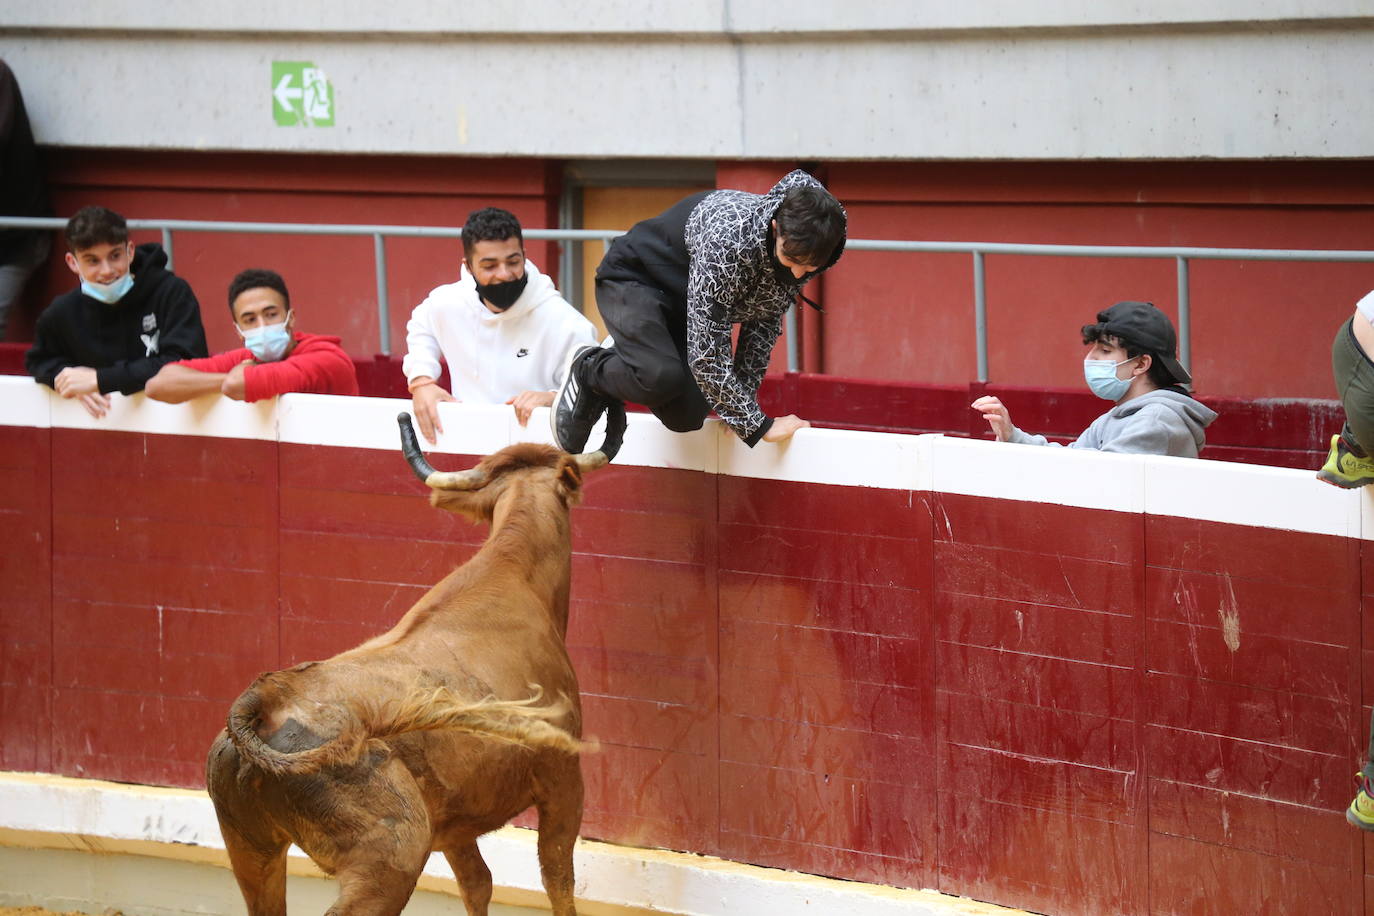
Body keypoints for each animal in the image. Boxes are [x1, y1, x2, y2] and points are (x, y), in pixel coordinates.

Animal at [206, 411, 626, 911]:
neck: (515, 576)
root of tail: (264, 698)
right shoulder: (563, 779)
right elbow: (558, 879)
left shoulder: (455, 825)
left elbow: (477, 883)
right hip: (390, 859)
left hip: (250, 850)